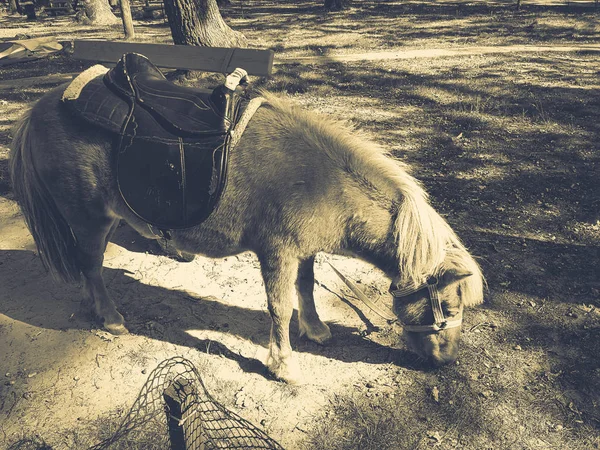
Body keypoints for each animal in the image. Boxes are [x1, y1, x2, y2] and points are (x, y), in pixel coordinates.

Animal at [9, 87, 486, 384]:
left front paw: (315, 329)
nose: (448, 360)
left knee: (86, 269)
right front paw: (284, 366)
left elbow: (306, 289)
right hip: (90, 219)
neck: (319, 182)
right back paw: (110, 318)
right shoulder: (277, 253)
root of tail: (42, 107)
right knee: (91, 266)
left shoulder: (303, 251)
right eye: (447, 306)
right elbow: (279, 306)